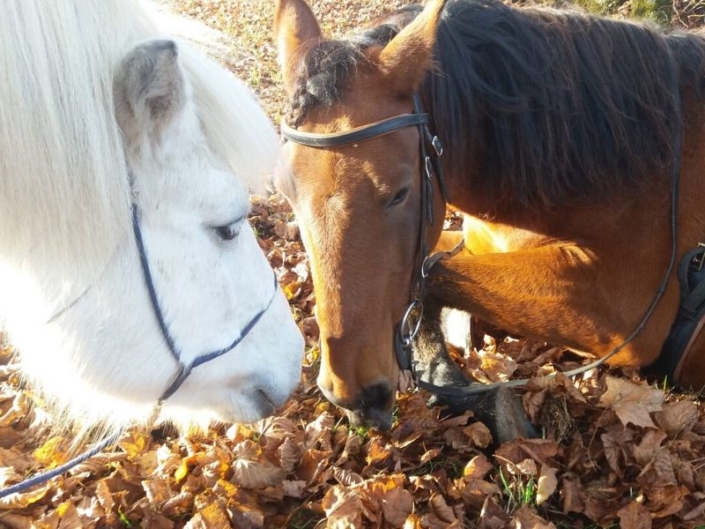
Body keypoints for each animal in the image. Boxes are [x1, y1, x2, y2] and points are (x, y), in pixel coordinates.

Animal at [272, 0, 704, 440]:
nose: (352, 393)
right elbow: (432, 274)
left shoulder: (625, 320)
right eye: (285, 191)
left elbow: (431, 281)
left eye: (400, 192)